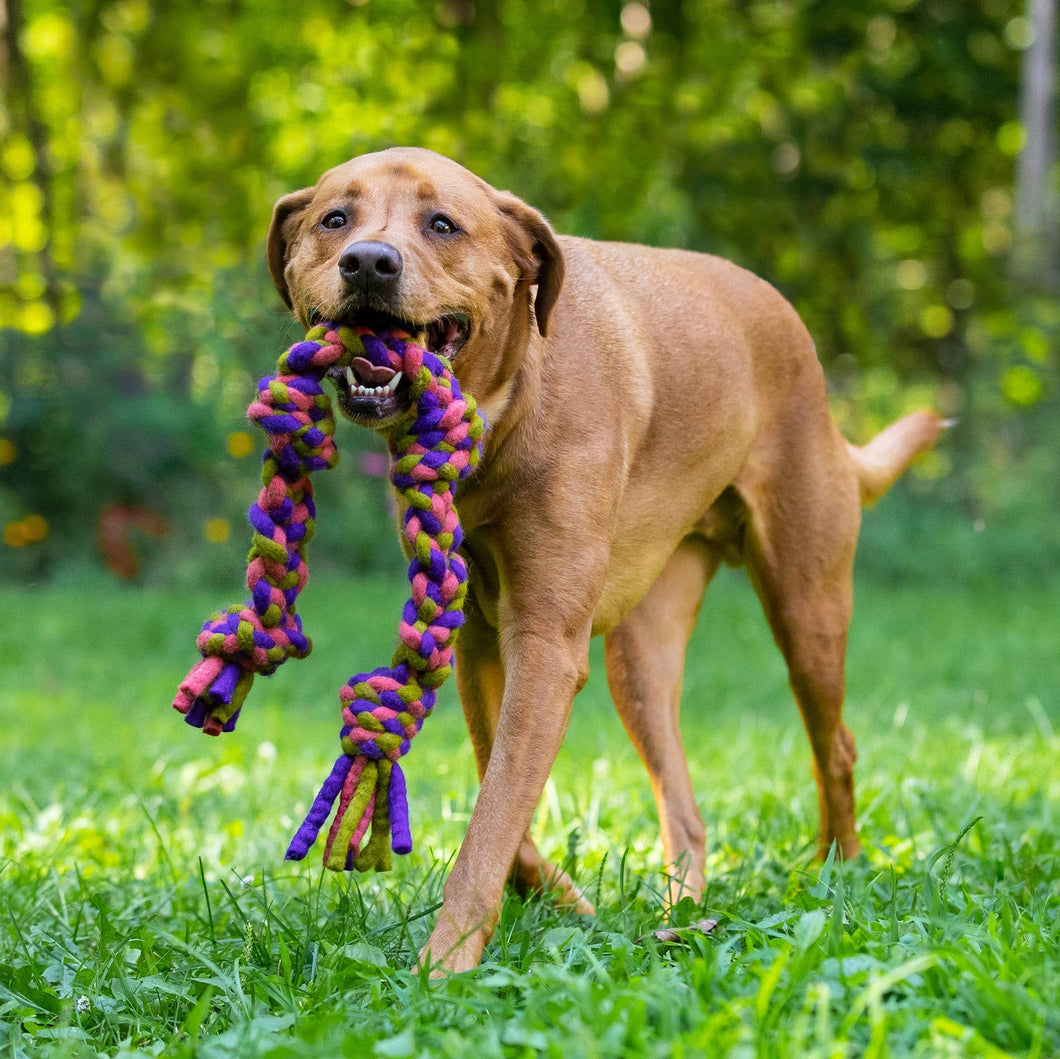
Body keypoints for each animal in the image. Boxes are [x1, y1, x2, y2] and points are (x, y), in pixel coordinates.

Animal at [267, 145, 945, 971]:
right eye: (335, 218)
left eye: (442, 224)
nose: (368, 261)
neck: (503, 414)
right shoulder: (482, 640)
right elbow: (501, 794)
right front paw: (559, 900)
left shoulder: (545, 645)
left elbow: (493, 816)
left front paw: (444, 963)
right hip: (639, 658)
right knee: (683, 810)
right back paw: (680, 913)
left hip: (806, 606)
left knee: (836, 746)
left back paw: (836, 870)